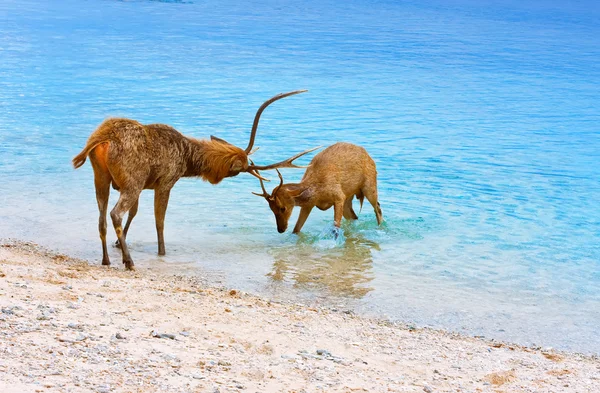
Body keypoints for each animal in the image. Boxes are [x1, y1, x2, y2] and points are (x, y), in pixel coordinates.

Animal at [72, 89, 316, 270]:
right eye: (240, 170)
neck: (188, 160)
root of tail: (102, 138)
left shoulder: (144, 186)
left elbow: (135, 213)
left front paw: (118, 246)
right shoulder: (165, 182)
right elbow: (159, 221)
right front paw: (161, 252)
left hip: (101, 178)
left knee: (102, 217)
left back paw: (106, 259)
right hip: (132, 181)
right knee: (115, 213)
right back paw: (129, 262)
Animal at [251, 142, 382, 237]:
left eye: (283, 208)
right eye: (271, 209)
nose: (281, 229)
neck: (318, 192)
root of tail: (369, 155)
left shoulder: (339, 197)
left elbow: (335, 229)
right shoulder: (308, 205)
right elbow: (296, 229)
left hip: (370, 186)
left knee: (378, 208)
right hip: (348, 198)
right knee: (354, 217)